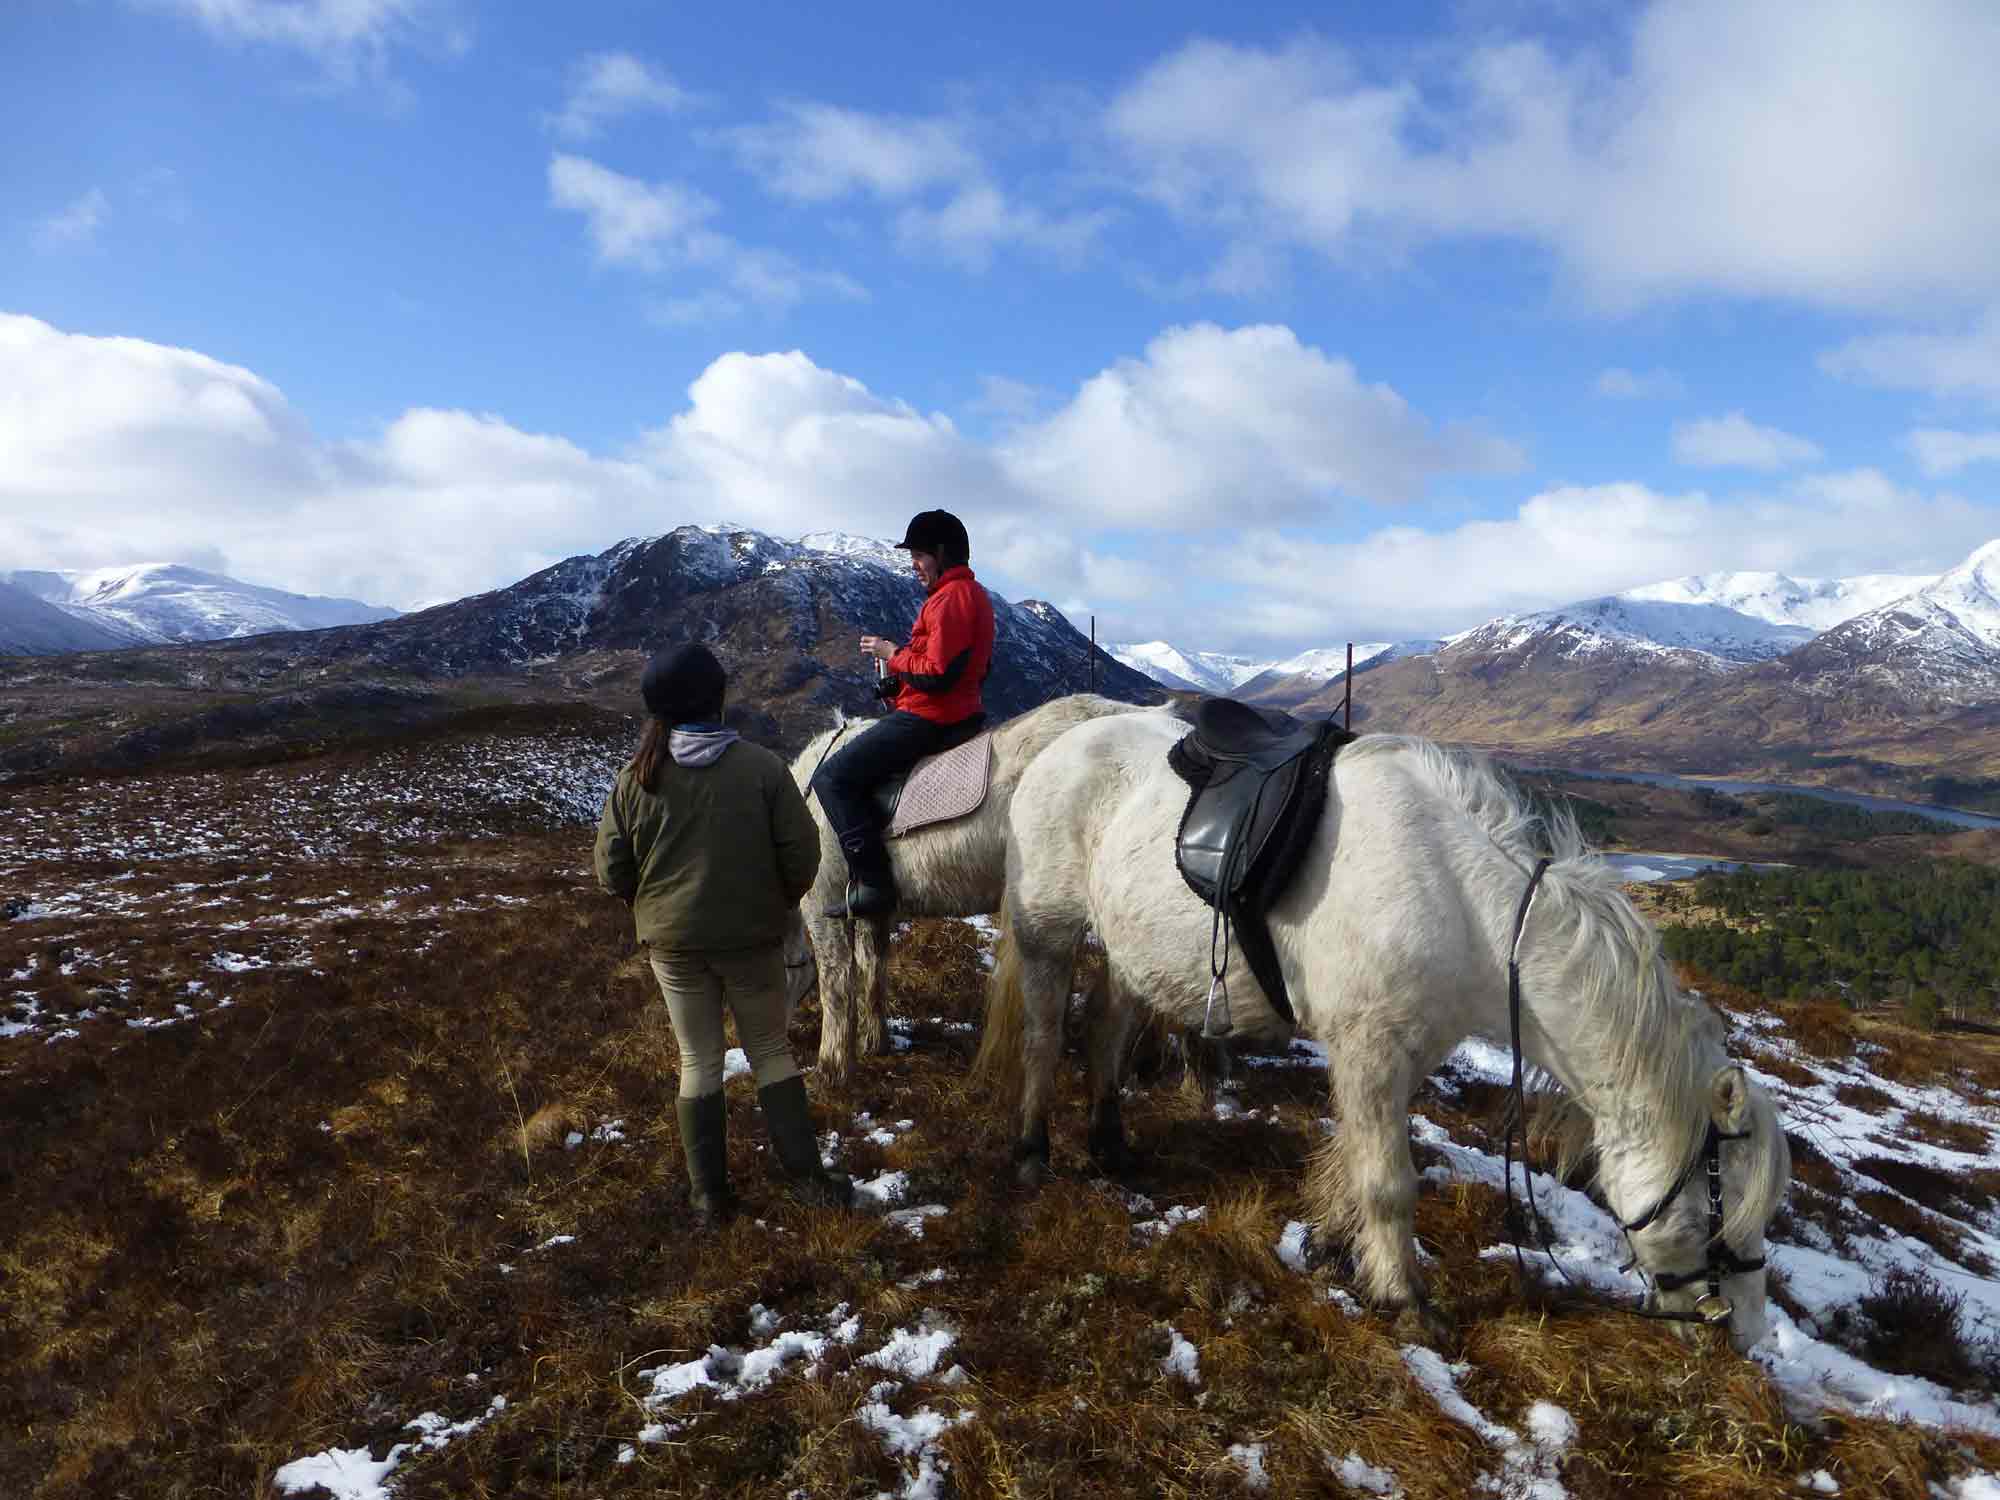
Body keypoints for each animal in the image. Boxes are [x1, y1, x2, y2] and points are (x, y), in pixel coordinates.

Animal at [788, 692, 1152, 1080]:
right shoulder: (874, 910)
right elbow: (873, 970)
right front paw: (874, 1043)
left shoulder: (824, 905)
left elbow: (836, 983)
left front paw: (831, 1067)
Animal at [992, 712, 1792, 1360]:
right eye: (1721, 1209)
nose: (1745, 1336)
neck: (1464, 905)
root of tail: (1057, 743)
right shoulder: (1369, 1052)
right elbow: (1389, 1183)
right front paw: (1405, 1298)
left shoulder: (1400, 1056)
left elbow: (1360, 1161)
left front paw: (1332, 1247)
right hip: (1049, 931)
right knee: (1042, 1035)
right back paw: (1032, 1151)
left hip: (1133, 954)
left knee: (1106, 1032)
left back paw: (1110, 1144)